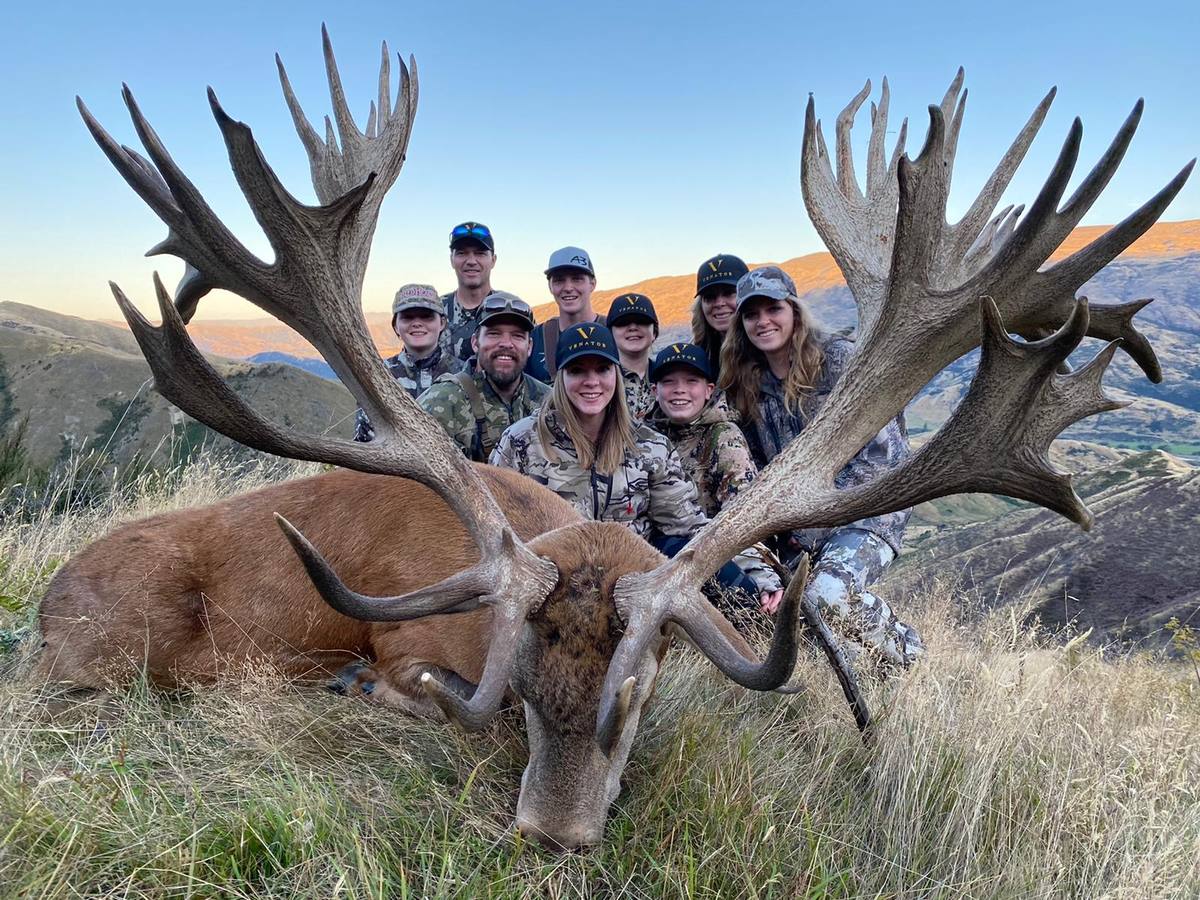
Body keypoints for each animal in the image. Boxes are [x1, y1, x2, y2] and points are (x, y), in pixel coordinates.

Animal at [38, 27, 1191, 848]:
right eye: (521, 700)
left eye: (632, 704)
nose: (554, 835)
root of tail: (43, 608)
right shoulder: (400, 644)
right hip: (108, 660)